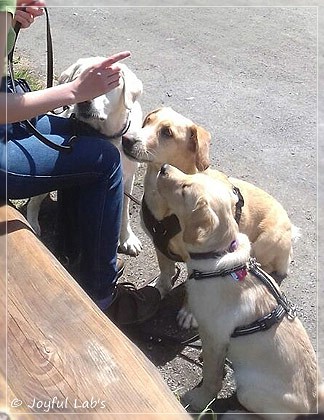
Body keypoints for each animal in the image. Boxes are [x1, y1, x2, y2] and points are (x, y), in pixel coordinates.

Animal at [122, 107, 298, 312]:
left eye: (167, 132)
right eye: (148, 121)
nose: (126, 139)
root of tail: (291, 228)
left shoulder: (198, 260)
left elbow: (190, 288)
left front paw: (188, 312)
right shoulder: (160, 246)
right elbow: (165, 271)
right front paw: (160, 289)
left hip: (265, 242)